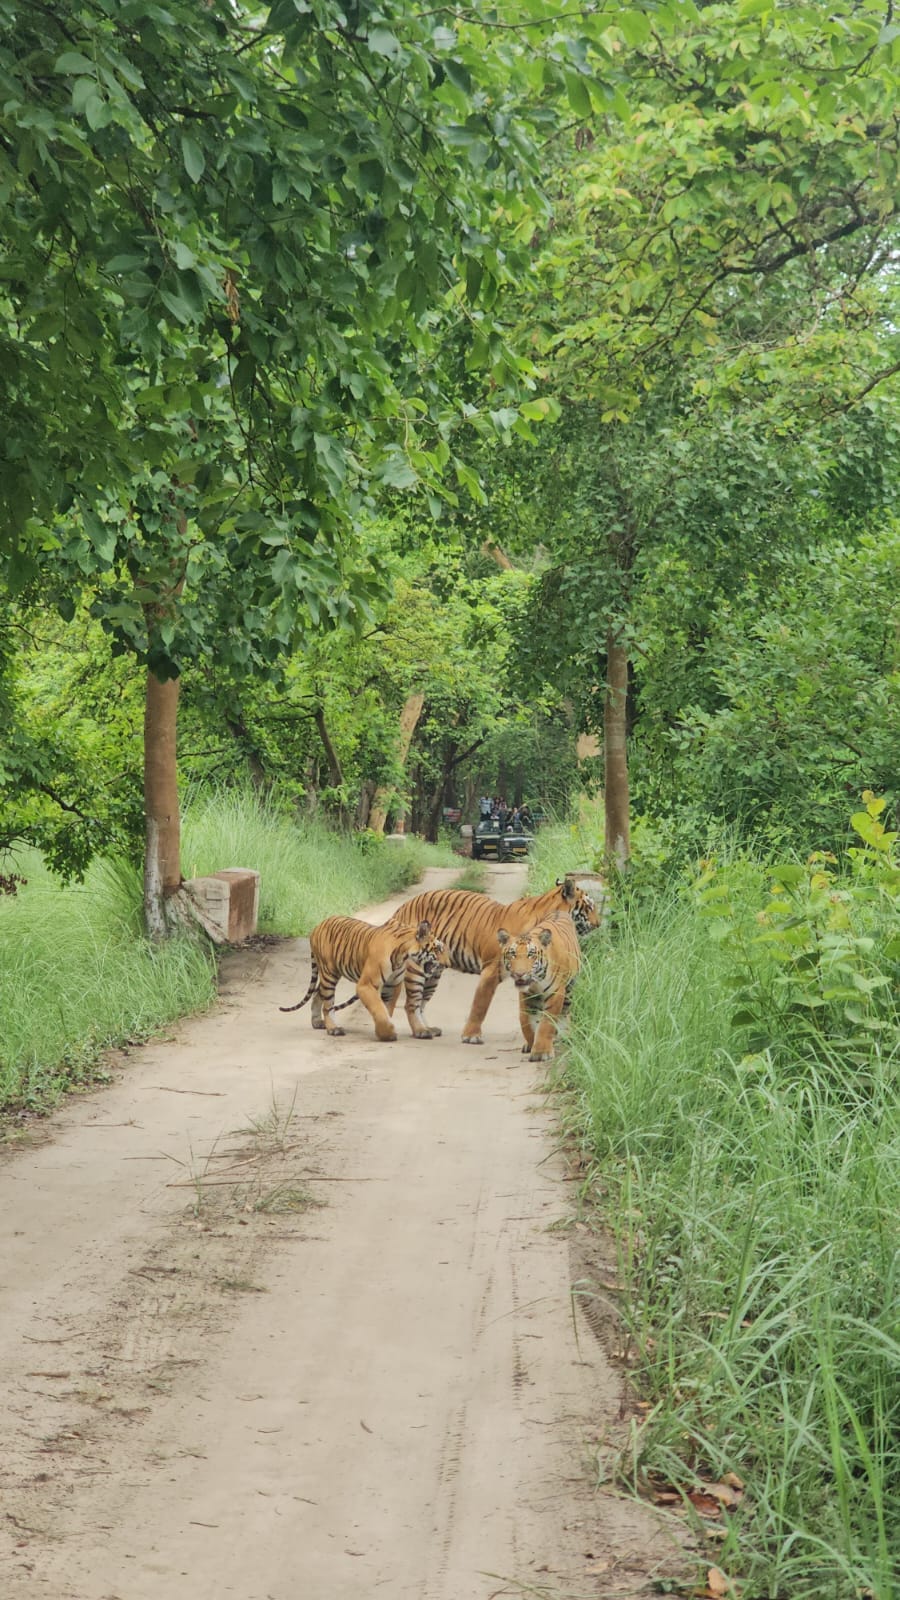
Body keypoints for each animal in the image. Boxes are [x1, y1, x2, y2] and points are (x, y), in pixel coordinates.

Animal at [278, 916, 446, 1042]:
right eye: (438, 949)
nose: (445, 963)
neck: (403, 954)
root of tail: (317, 926)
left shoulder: (393, 985)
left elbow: (386, 1009)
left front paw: (383, 1032)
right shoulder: (366, 985)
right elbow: (379, 1009)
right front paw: (388, 1034)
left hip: (332, 973)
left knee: (317, 993)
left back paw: (317, 1022)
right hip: (329, 973)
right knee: (328, 1004)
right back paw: (333, 1028)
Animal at [383, 876, 601, 1044]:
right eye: (589, 906)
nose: (599, 924)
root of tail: (400, 910)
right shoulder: (492, 969)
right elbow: (480, 1004)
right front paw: (471, 1036)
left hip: (433, 971)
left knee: (422, 1003)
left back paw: (429, 1028)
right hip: (417, 967)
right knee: (411, 1003)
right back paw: (421, 1031)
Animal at [497, 911, 582, 1062]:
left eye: (531, 954)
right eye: (512, 954)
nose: (519, 974)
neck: (536, 982)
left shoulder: (556, 993)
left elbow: (546, 1024)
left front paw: (541, 1051)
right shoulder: (526, 996)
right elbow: (526, 1021)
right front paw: (532, 1044)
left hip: (569, 990)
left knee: (565, 1012)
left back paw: (565, 1035)